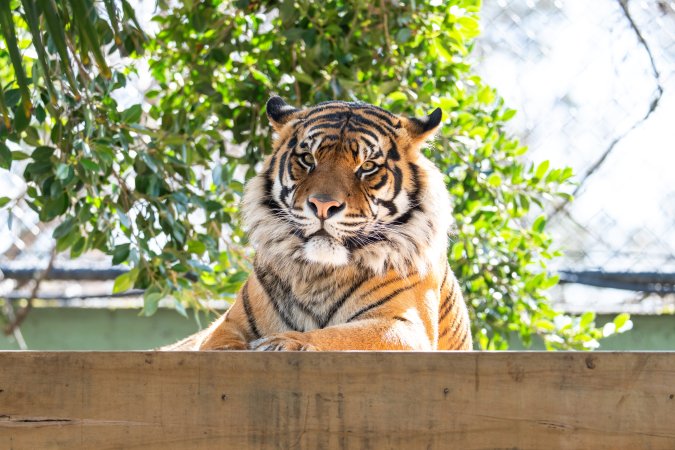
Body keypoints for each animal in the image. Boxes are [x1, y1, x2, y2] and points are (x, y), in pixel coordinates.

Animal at [163, 96, 472, 351]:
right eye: (307, 159)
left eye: (367, 166)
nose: (323, 206)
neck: (319, 272)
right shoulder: (227, 327)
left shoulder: (403, 325)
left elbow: (341, 336)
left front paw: (284, 342)